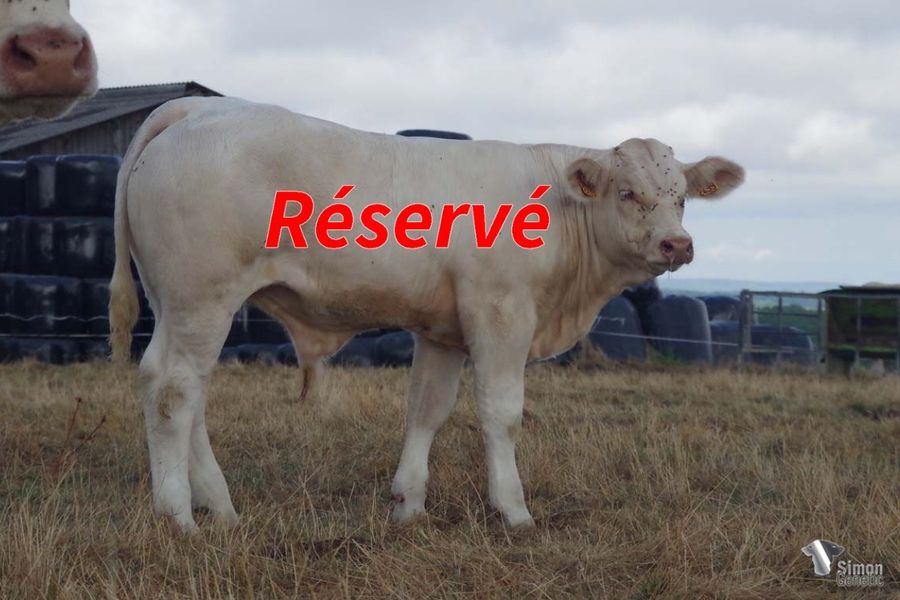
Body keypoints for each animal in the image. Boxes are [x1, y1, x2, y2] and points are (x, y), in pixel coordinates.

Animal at [108, 96, 745, 532]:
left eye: (682, 196)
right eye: (628, 193)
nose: (677, 244)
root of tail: (198, 106)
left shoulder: (443, 330)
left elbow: (427, 410)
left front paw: (408, 504)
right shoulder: (501, 311)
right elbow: (501, 413)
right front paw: (514, 510)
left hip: (176, 303)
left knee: (182, 392)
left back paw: (219, 507)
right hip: (202, 297)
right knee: (174, 390)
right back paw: (178, 516)